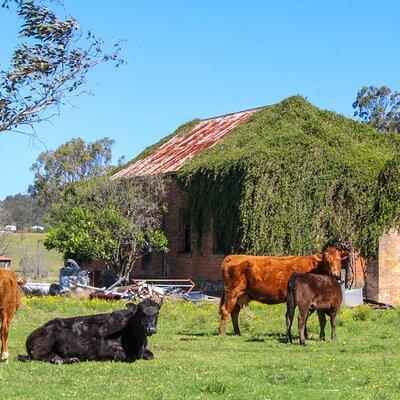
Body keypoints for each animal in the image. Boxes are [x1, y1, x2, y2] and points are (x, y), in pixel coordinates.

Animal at [18, 298, 162, 364]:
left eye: (157, 313)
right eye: (141, 311)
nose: (151, 329)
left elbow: (151, 355)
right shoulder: (106, 348)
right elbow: (122, 355)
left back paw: (72, 359)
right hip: (44, 342)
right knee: (40, 355)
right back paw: (58, 359)